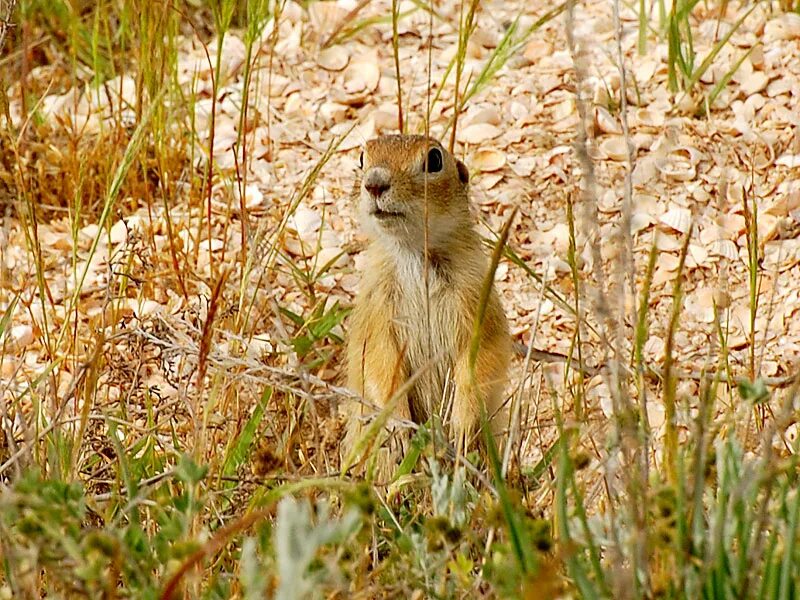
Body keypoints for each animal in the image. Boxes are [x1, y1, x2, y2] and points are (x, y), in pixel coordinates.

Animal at [344, 134, 512, 476]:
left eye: (434, 160)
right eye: (362, 157)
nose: (374, 183)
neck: (415, 252)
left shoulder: (479, 299)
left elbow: (483, 356)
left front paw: (462, 426)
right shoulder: (376, 306)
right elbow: (378, 360)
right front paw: (397, 425)